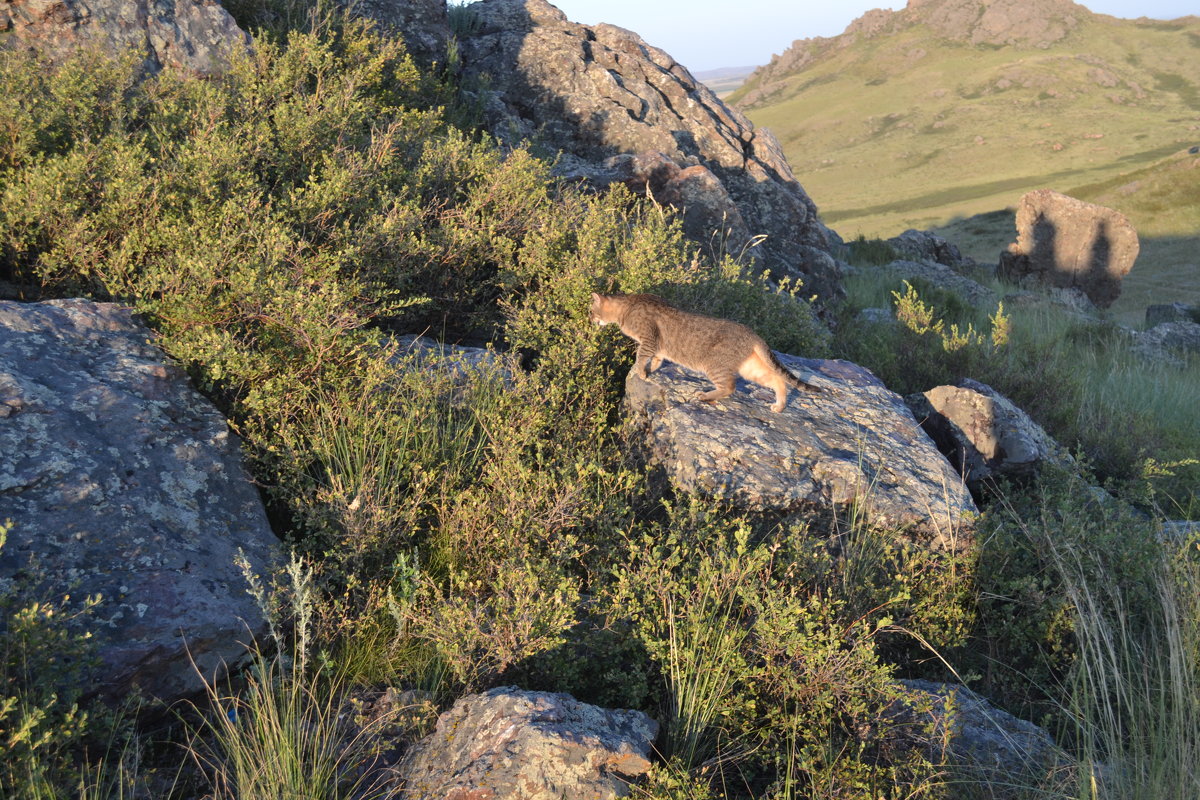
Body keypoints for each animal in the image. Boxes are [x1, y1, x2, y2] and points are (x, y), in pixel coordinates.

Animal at [588, 292, 820, 412]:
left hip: (715, 366)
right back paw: (779, 406)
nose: (590, 320)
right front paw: (651, 370)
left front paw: (641, 372)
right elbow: (656, 360)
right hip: (751, 368)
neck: (627, 306)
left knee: (729, 387)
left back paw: (705, 395)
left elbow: (640, 357)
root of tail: (753, 334)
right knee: (778, 380)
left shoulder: (648, 340)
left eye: (591, 311)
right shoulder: (657, 347)